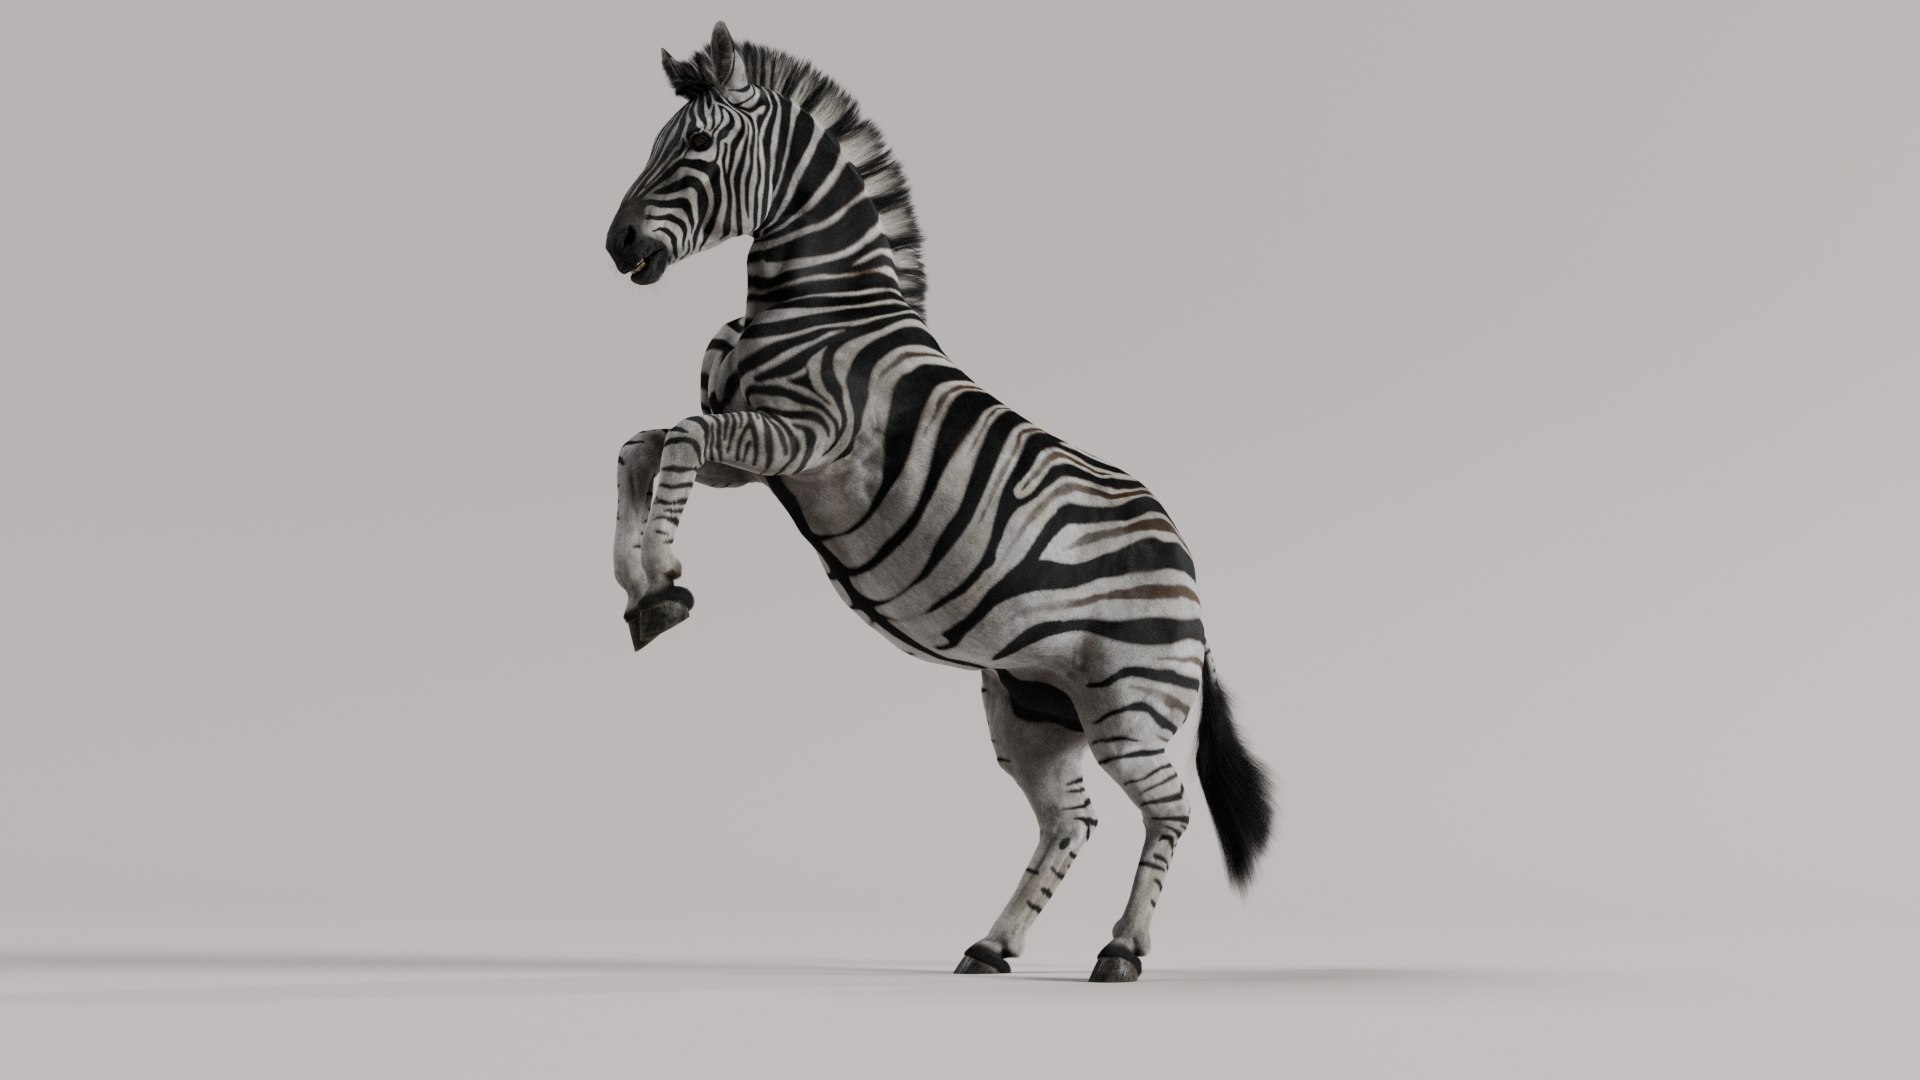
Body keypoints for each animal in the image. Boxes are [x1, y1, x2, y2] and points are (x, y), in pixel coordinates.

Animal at [605, 22, 1273, 983]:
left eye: (695, 144)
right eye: (656, 141)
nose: (616, 245)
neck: (819, 301)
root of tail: (1187, 568)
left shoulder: (805, 437)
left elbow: (681, 443)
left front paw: (660, 580)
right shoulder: (759, 456)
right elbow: (641, 447)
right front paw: (642, 590)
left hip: (1129, 703)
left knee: (1169, 811)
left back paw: (1121, 951)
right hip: (1035, 705)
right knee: (1071, 818)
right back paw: (993, 946)